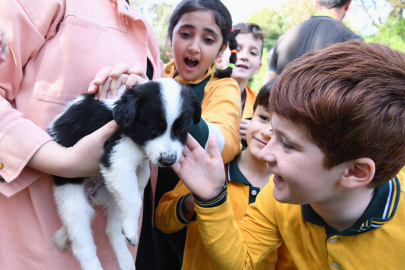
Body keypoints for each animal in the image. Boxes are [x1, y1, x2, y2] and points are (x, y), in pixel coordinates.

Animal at [47, 77, 200, 270]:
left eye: (181, 129)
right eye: (153, 128)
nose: (168, 161)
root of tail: (92, 194)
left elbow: (141, 181)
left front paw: (131, 225)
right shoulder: (117, 159)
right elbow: (134, 198)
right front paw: (132, 228)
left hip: (112, 197)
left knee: (112, 229)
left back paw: (126, 258)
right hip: (71, 195)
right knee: (82, 242)